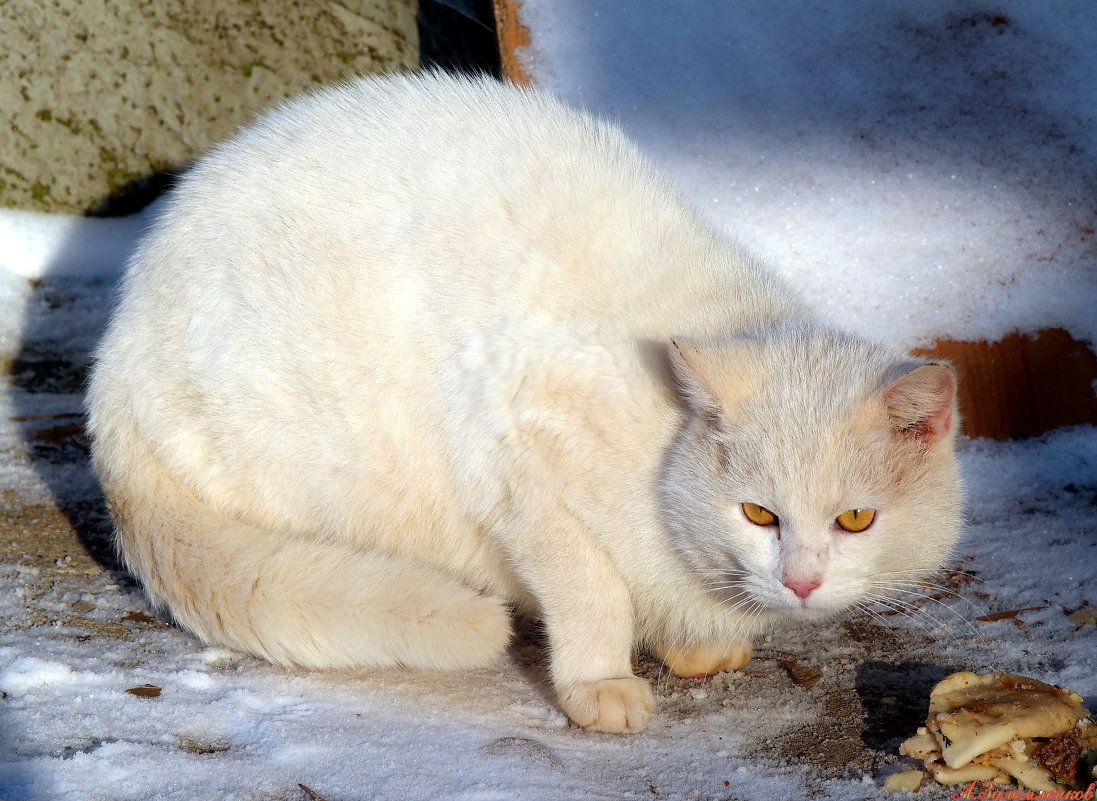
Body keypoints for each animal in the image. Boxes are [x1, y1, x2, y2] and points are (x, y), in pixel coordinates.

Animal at [85, 70, 960, 728]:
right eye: (757, 514)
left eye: (855, 519)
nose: (802, 582)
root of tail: (112, 366)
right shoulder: (522, 459)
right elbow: (593, 588)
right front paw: (599, 681)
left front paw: (696, 643)